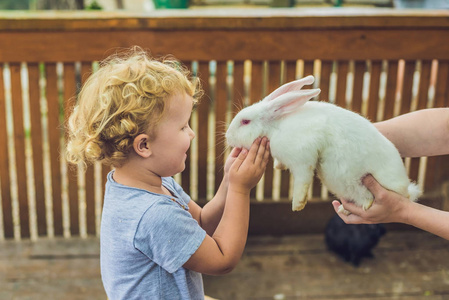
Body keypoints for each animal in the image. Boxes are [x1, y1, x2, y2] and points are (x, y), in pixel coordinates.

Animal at [226, 75, 422, 211]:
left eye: (245, 122)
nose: (228, 136)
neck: (275, 127)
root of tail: (405, 189)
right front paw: (278, 166)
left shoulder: (302, 160)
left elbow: (302, 182)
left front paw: (297, 205)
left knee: (370, 198)